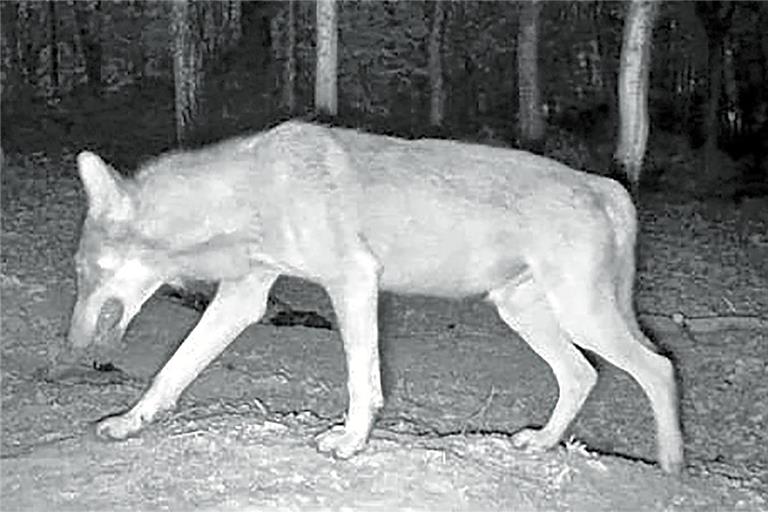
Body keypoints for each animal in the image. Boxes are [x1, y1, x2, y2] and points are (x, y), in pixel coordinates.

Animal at [60, 121, 683, 474]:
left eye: (84, 271)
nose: (71, 345)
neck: (249, 193)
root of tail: (608, 185)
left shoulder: (353, 282)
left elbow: (363, 382)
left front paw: (350, 443)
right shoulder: (244, 298)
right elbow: (170, 374)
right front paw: (128, 424)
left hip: (582, 316)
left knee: (658, 367)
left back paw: (673, 466)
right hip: (527, 315)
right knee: (583, 375)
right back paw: (542, 443)